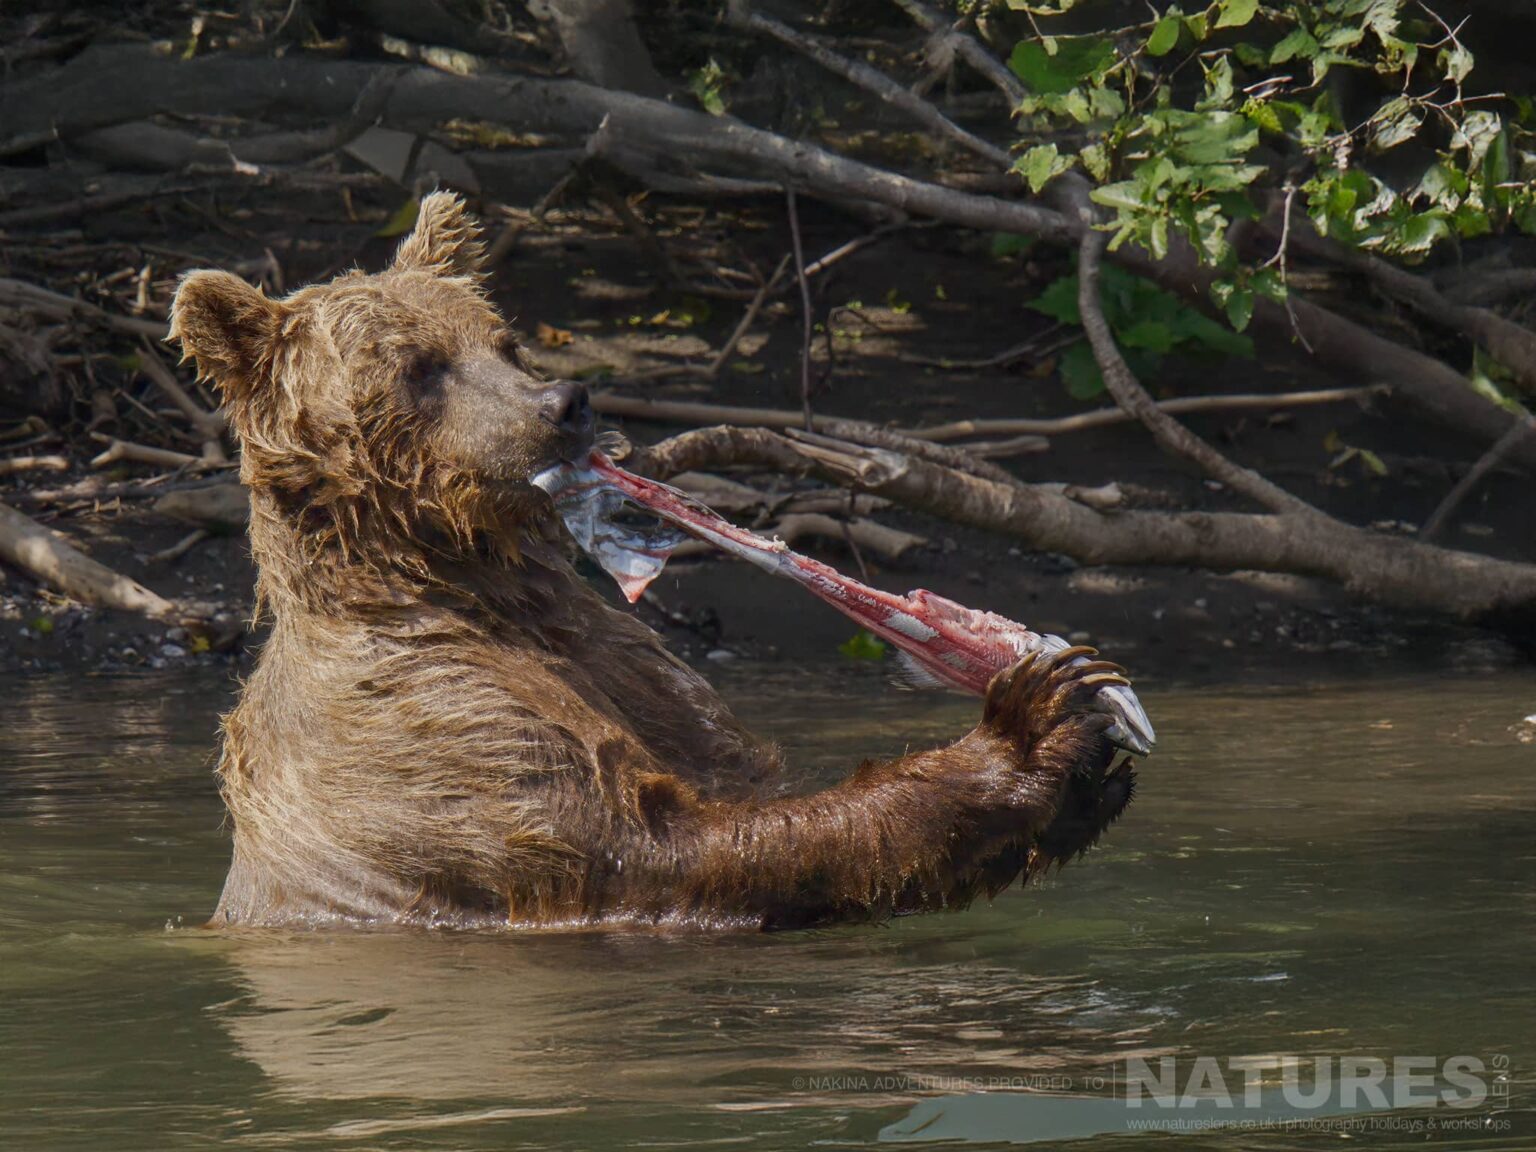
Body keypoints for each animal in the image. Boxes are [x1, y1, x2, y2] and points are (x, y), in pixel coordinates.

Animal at [170, 192, 1135, 930]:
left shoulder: (625, 667)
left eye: (503, 342)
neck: (470, 580)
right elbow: (648, 849)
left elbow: (721, 774)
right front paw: (1034, 722)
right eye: (419, 366)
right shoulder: (424, 734)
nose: (563, 403)